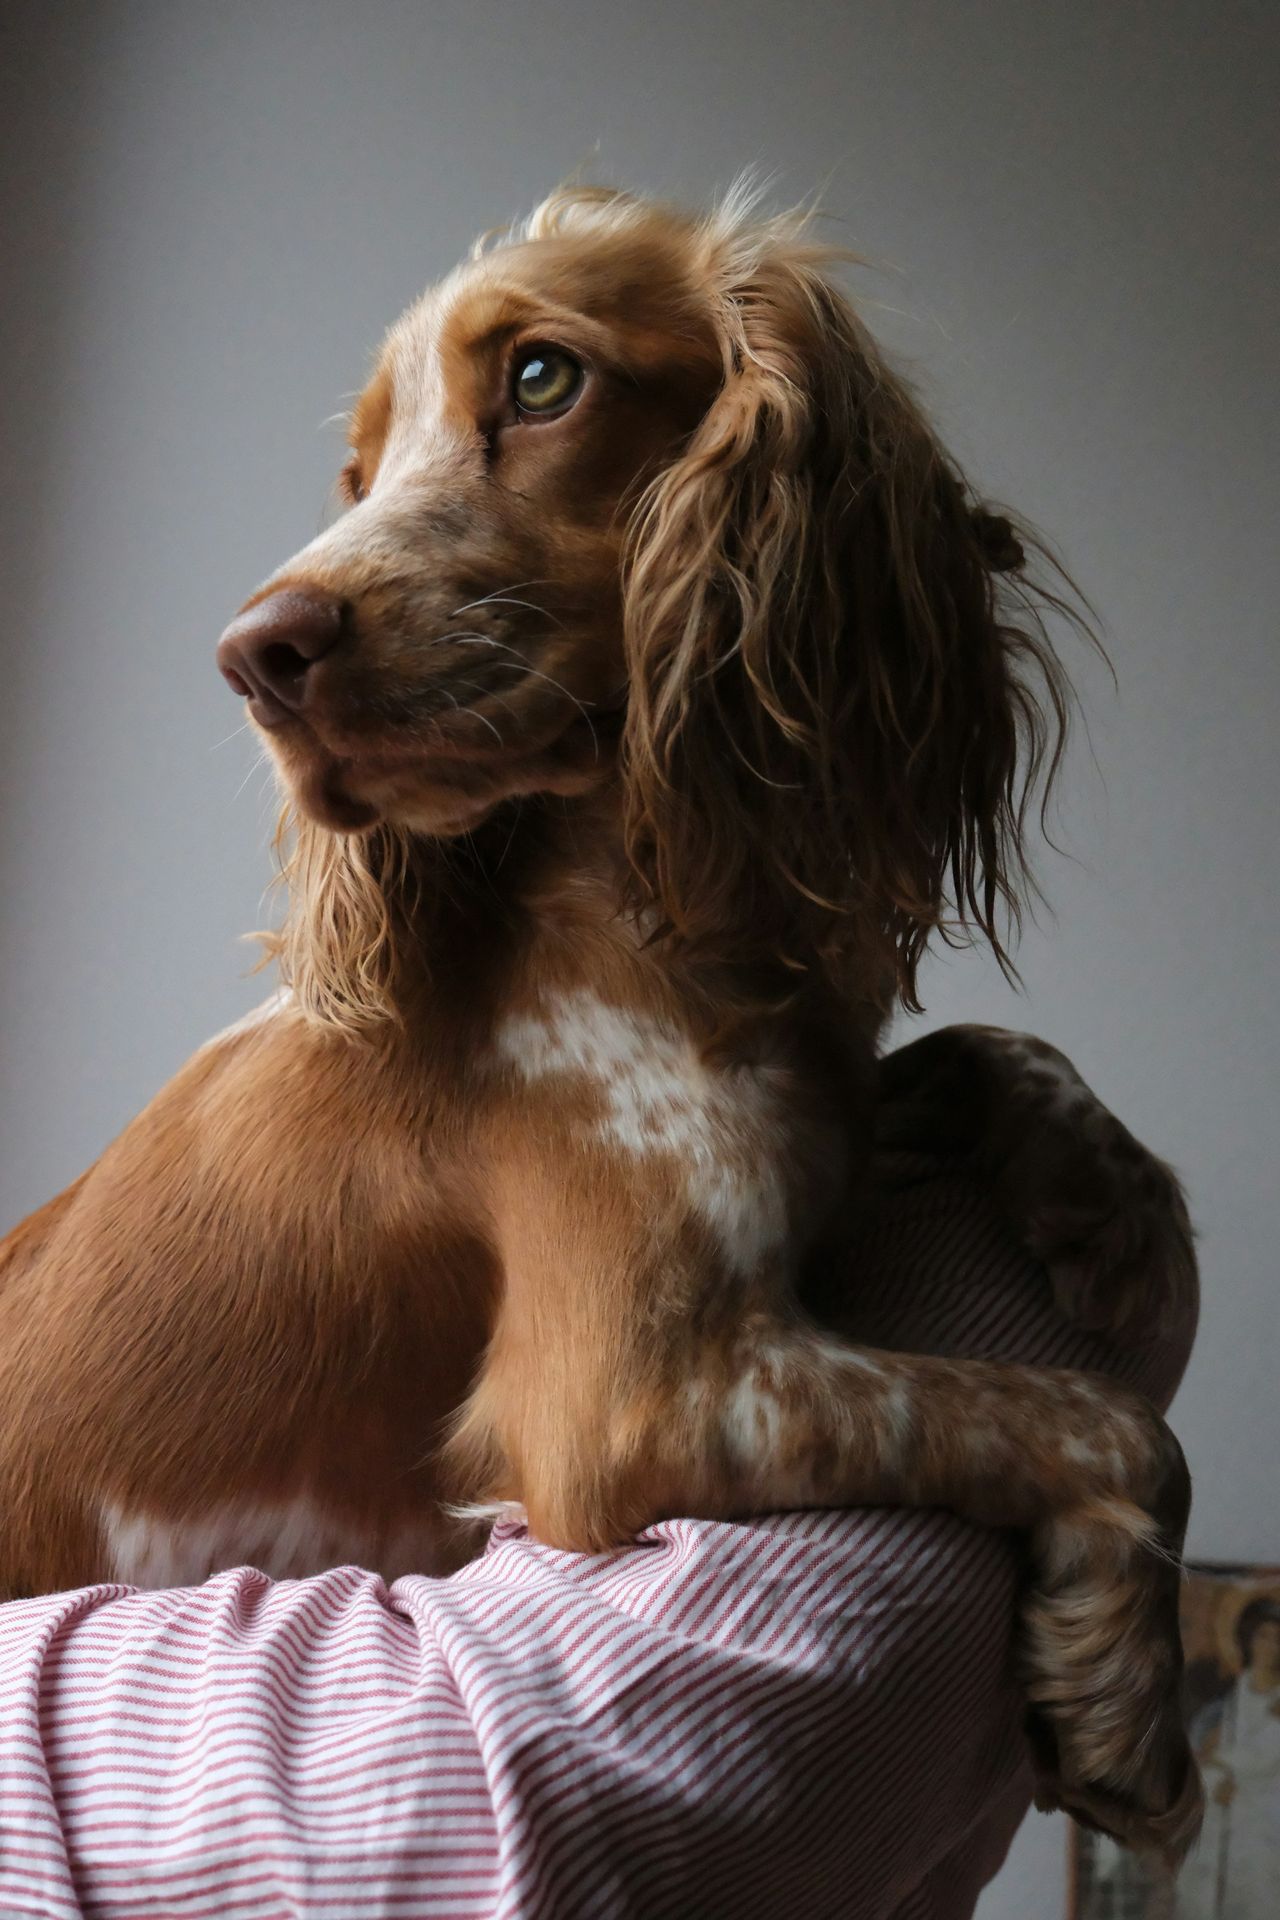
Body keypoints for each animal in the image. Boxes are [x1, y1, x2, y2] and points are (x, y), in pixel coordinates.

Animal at [0, 191, 1205, 1858]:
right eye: (360, 474)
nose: (256, 656)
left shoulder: (822, 1116)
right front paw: (1127, 1691)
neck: (662, 923)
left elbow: (981, 1052)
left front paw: (1111, 1198)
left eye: (542, 378)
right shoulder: (636, 1405)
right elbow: (1105, 1421)